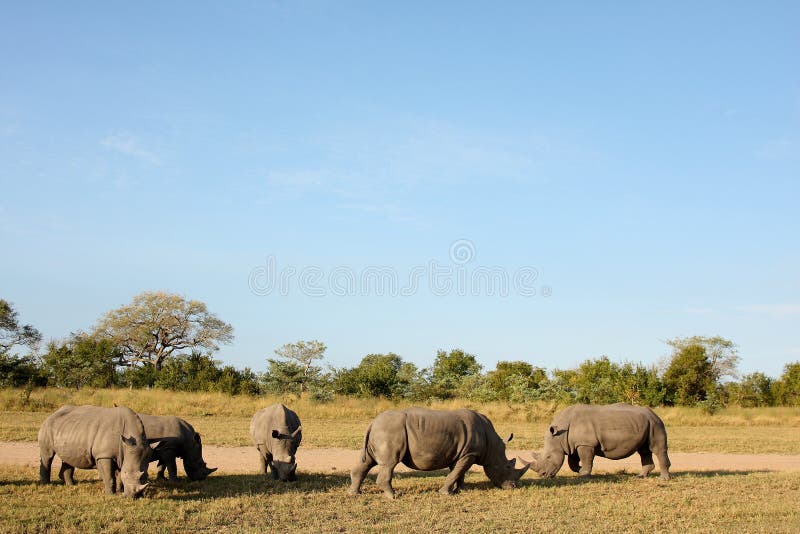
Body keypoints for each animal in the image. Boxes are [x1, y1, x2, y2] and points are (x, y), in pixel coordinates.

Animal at [348, 408, 532, 500]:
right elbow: (456, 473)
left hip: (382, 431)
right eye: (507, 466)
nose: (513, 487)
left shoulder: (462, 453)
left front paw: (459, 490)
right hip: (390, 430)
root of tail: (372, 422)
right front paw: (445, 493)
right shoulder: (469, 453)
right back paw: (393, 497)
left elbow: (458, 473)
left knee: (367, 462)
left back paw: (354, 494)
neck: (492, 445)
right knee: (389, 464)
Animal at [528, 406, 672, 482]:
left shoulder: (586, 444)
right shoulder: (573, 444)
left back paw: (663, 479)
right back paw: (641, 476)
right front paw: (580, 471)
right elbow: (572, 463)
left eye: (548, 457)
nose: (542, 475)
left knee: (657, 449)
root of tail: (655, 414)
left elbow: (586, 460)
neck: (560, 435)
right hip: (646, 424)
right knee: (644, 451)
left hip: (655, 424)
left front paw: (583, 475)